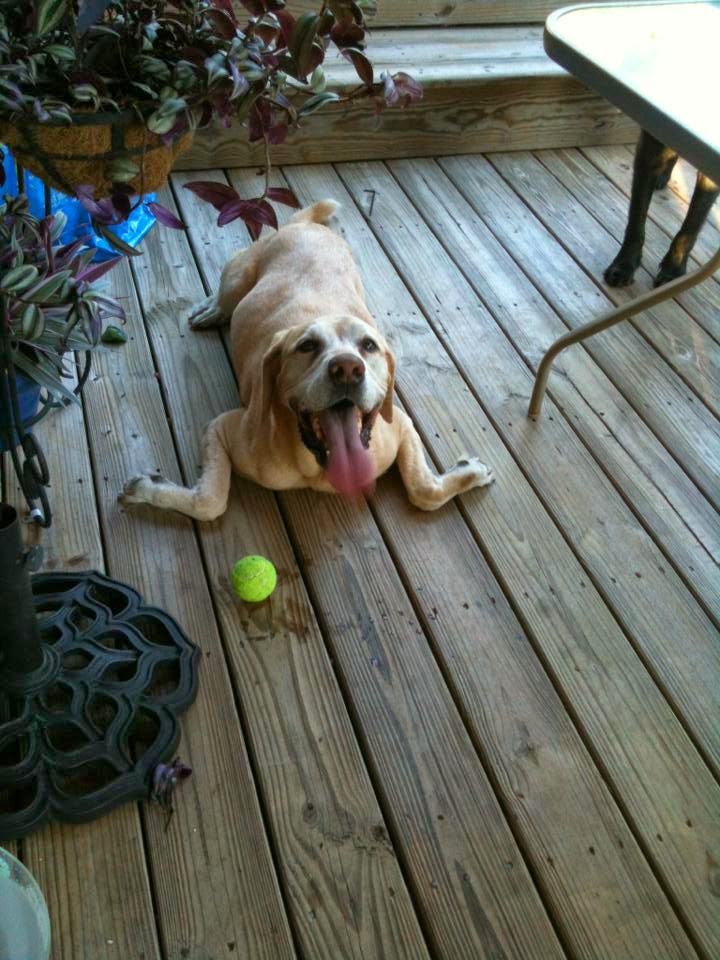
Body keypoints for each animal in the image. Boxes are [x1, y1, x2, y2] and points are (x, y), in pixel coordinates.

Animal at [121, 200, 493, 520]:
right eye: (307, 346)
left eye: (369, 346)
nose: (348, 369)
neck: (319, 466)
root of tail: (303, 226)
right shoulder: (223, 427)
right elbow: (209, 500)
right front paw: (150, 490)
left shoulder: (399, 423)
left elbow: (424, 489)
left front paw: (469, 474)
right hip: (238, 276)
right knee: (226, 295)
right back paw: (213, 309)